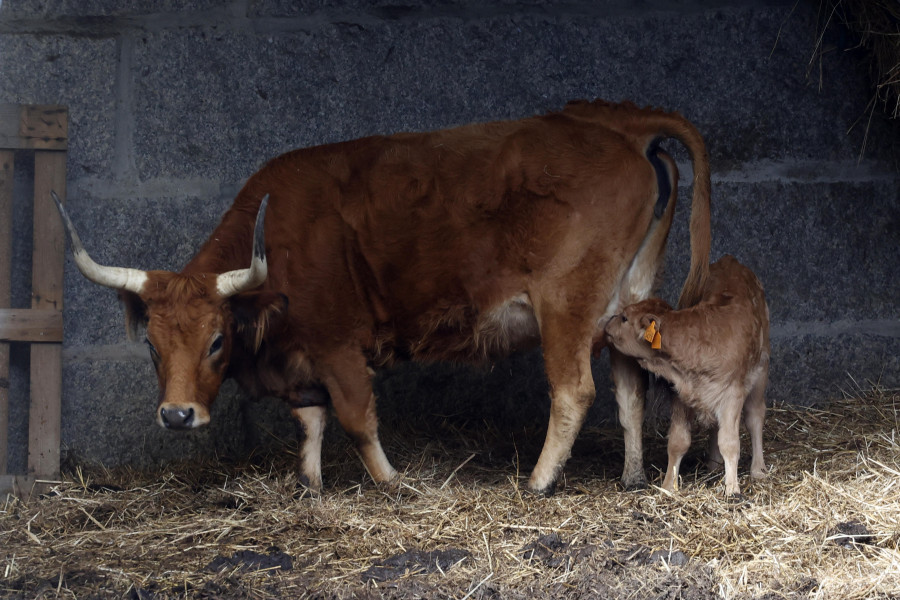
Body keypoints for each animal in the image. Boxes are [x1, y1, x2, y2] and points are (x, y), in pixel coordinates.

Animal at [54, 101, 712, 494]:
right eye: (152, 347)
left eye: (217, 340)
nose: (176, 415)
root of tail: (612, 121)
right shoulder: (303, 360)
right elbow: (310, 421)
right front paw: (311, 484)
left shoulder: (338, 346)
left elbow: (355, 419)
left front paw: (392, 481)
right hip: (625, 303)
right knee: (630, 390)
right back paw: (631, 476)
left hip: (566, 304)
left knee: (575, 390)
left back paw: (539, 480)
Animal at [600, 255, 768, 494]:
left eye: (624, 318)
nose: (607, 322)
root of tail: (730, 261)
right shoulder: (680, 393)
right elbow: (678, 442)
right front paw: (668, 486)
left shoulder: (732, 395)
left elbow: (730, 443)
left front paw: (732, 489)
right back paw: (714, 465)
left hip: (761, 369)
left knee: (755, 417)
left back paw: (758, 470)